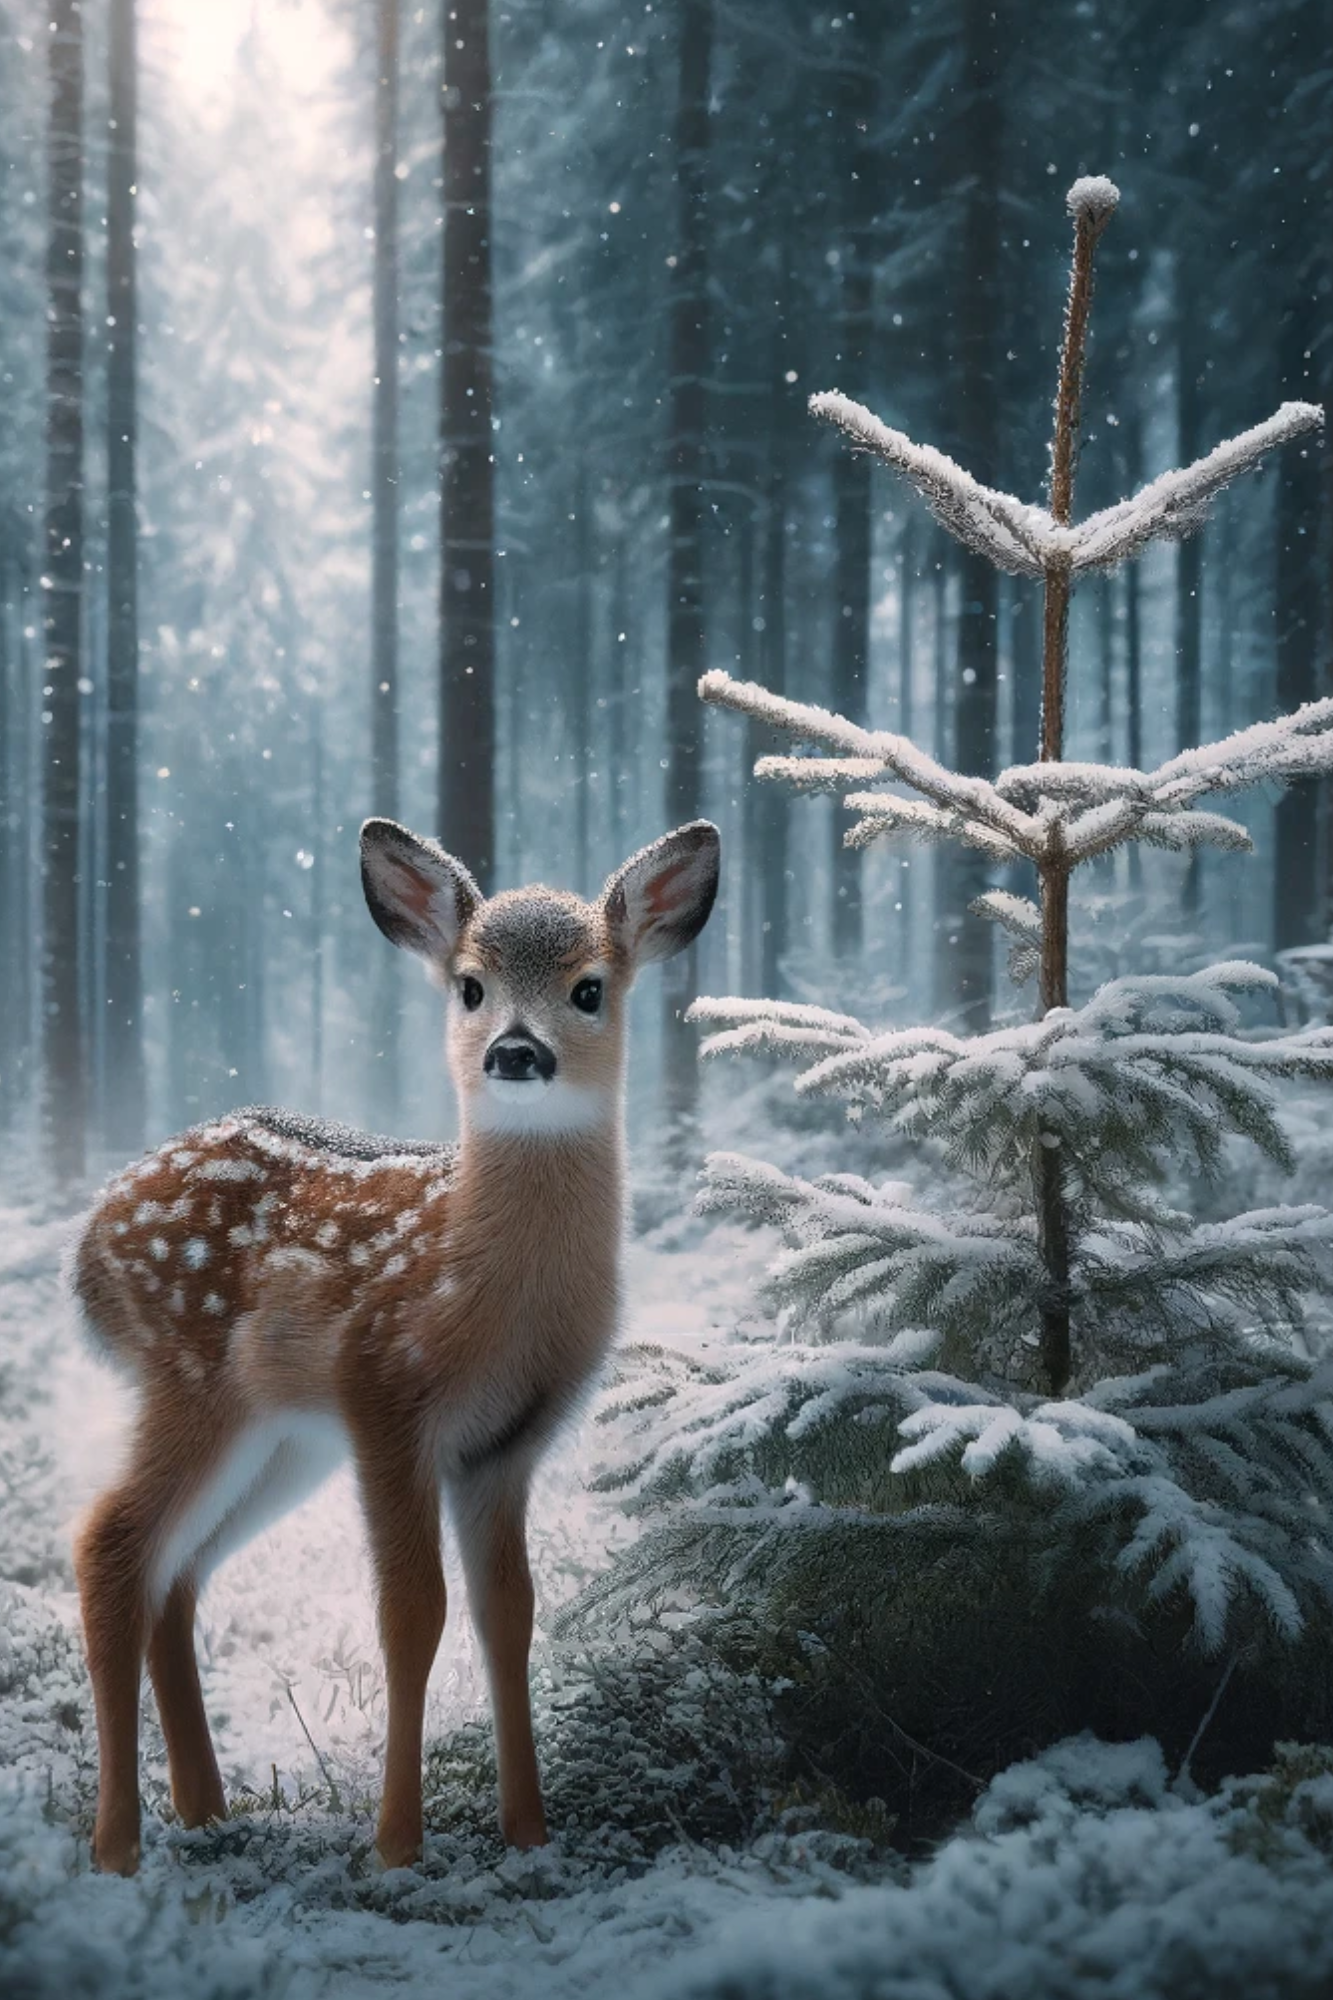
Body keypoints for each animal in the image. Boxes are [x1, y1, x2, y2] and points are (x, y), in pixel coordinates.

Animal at [70, 815, 720, 1877]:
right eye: (470, 985)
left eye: (589, 987)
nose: (515, 1051)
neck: (488, 1302)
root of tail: (84, 1250)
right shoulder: (383, 1395)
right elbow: (411, 1614)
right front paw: (397, 1843)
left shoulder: (509, 1443)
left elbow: (510, 1613)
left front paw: (528, 1834)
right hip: (193, 1380)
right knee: (109, 1543)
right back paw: (119, 1843)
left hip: (282, 1438)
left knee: (179, 1571)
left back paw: (208, 1813)